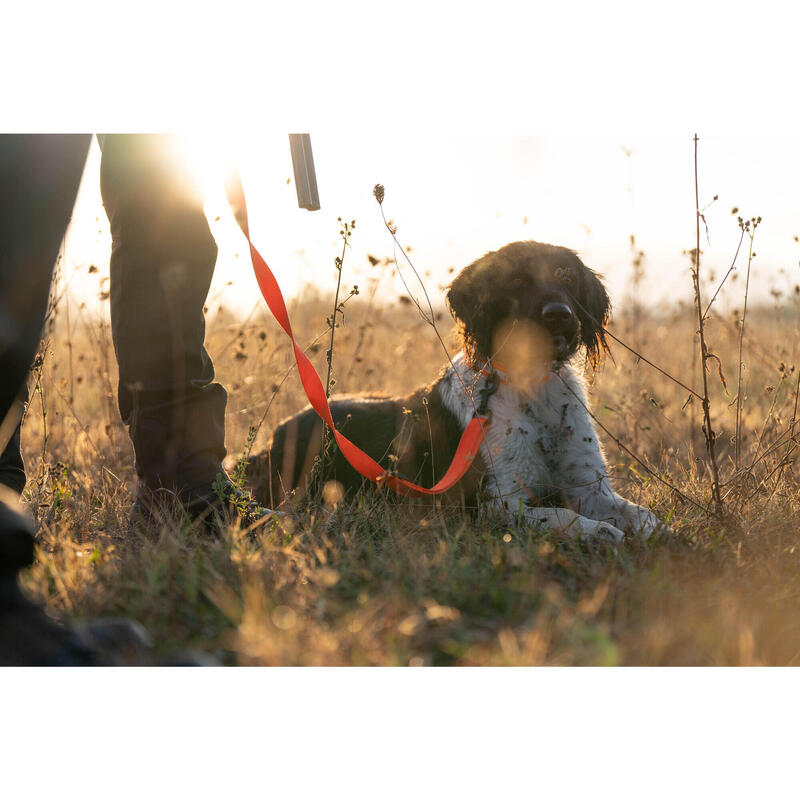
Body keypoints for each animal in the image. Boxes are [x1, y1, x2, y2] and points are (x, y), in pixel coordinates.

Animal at [248, 241, 664, 544]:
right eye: (516, 280)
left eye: (567, 277)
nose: (560, 314)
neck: (531, 390)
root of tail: (273, 436)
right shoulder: (496, 504)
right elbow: (566, 515)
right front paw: (603, 533)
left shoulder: (590, 487)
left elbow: (646, 517)